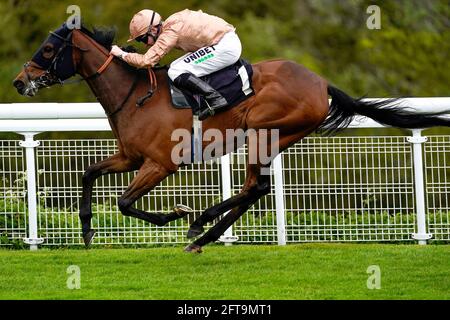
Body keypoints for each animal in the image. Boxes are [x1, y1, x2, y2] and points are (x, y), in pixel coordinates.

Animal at [12, 23, 448, 252]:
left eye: (48, 49)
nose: (19, 81)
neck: (135, 94)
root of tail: (321, 83)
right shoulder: (131, 157)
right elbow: (89, 173)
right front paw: (86, 229)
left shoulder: (160, 163)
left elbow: (123, 202)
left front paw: (177, 214)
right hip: (273, 139)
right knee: (255, 189)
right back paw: (203, 235)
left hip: (262, 132)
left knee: (256, 188)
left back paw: (200, 224)